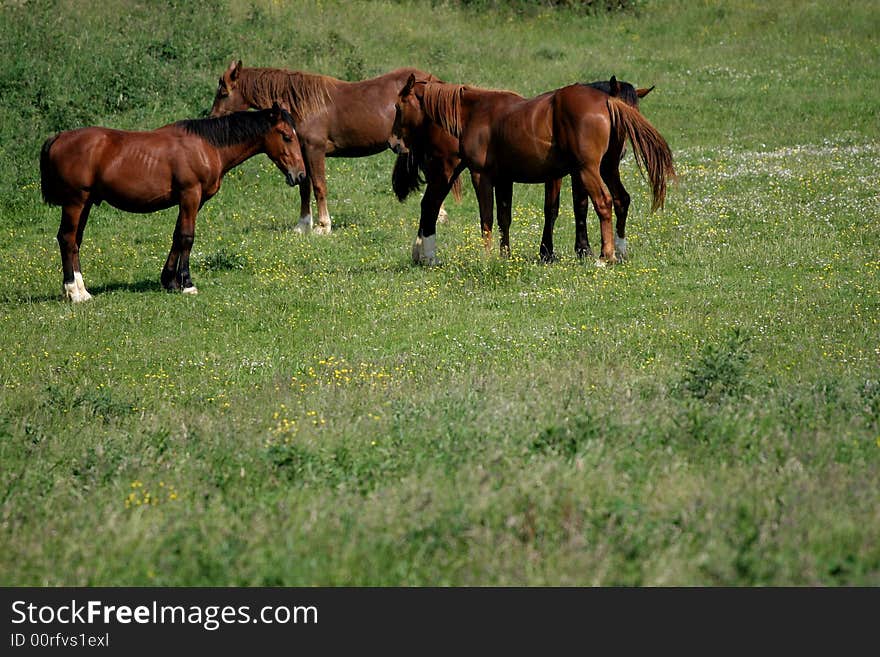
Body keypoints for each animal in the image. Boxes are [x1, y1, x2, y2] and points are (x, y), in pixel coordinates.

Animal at [40, 102, 306, 300]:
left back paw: (81, 290)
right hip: (75, 202)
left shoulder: (193, 201)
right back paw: (74, 292)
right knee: (67, 239)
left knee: (75, 241)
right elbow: (187, 237)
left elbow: (177, 236)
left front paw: (169, 281)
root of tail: (59, 137)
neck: (206, 145)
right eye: (286, 136)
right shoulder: (190, 195)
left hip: (84, 203)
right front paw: (187, 283)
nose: (301, 175)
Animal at [388, 75, 672, 264]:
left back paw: (606, 256)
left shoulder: (482, 175)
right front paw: (506, 256)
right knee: (621, 199)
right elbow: (505, 218)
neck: (475, 111)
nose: (394, 143)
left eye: (398, 107)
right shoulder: (505, 178)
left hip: (590, 170)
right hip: (608, 168)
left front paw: (488, 257)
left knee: (605, 202)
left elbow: (487, 218)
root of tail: (605, 102)